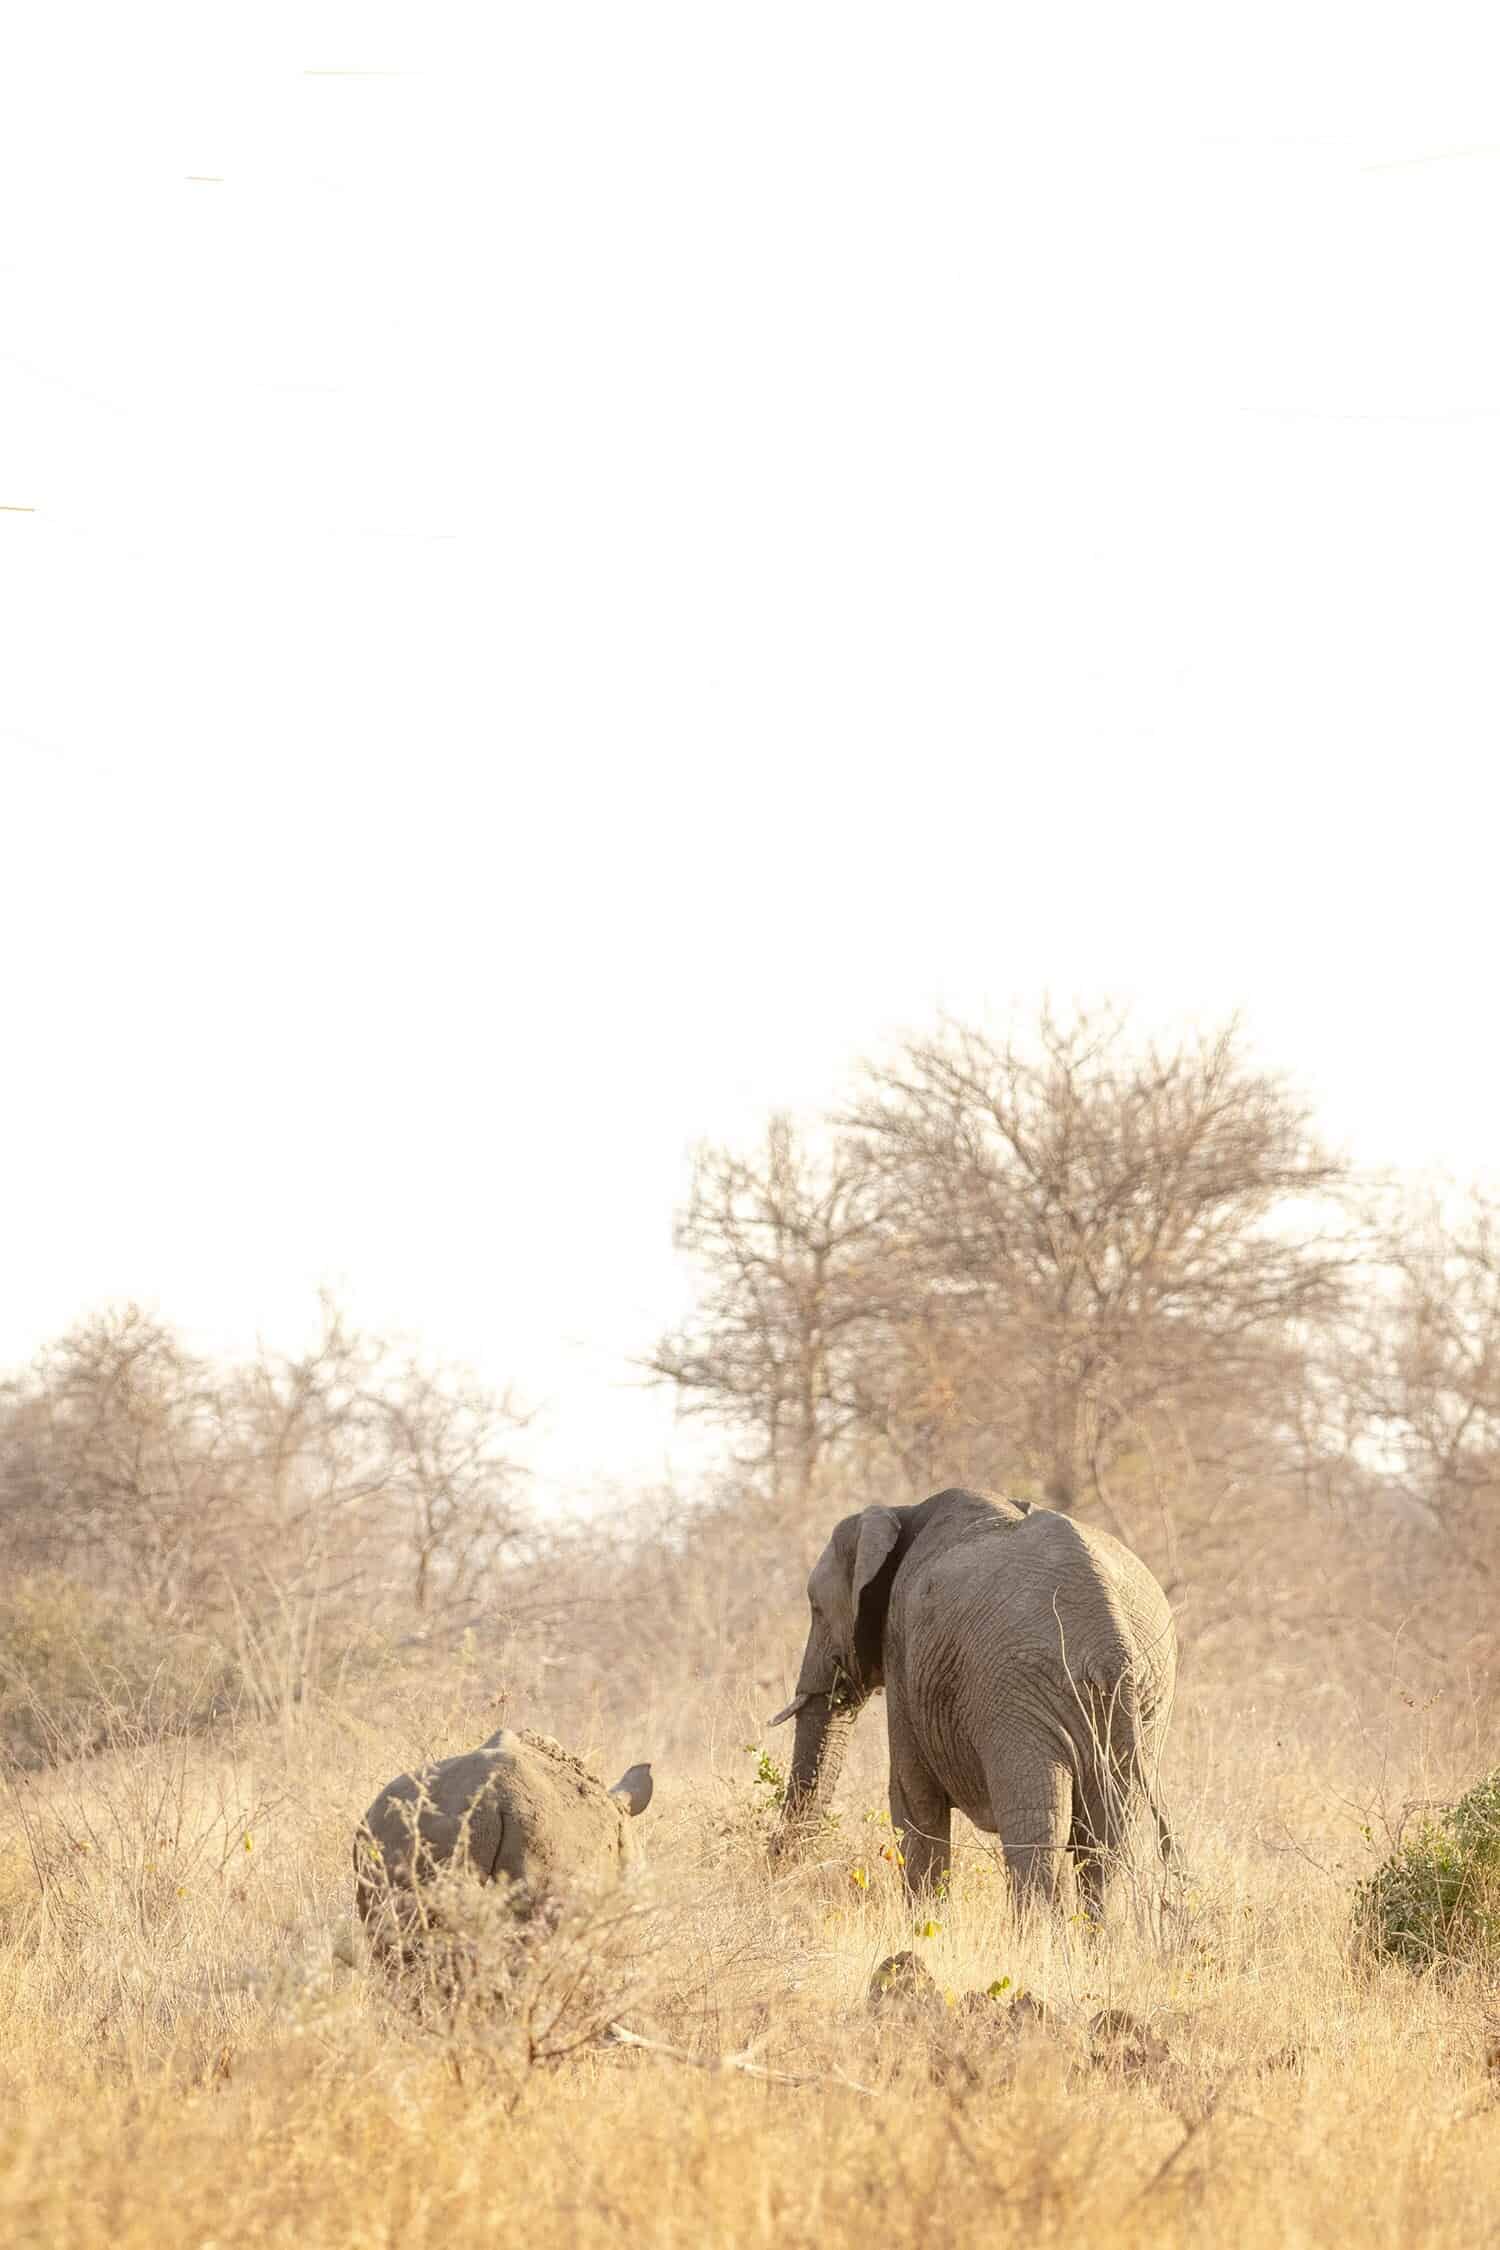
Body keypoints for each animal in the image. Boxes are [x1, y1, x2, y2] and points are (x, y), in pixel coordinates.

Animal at [769, 1485, 1178, 1908]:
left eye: (816, 1608)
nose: (776, 1862)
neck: (904, 1512)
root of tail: (1112, 1643)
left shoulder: (902, 1650)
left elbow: (913, 1801)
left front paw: (926, 1922)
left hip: (1017, 1695)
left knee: (1039, 1822)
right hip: (1142, 1702)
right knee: (1109, 1836)